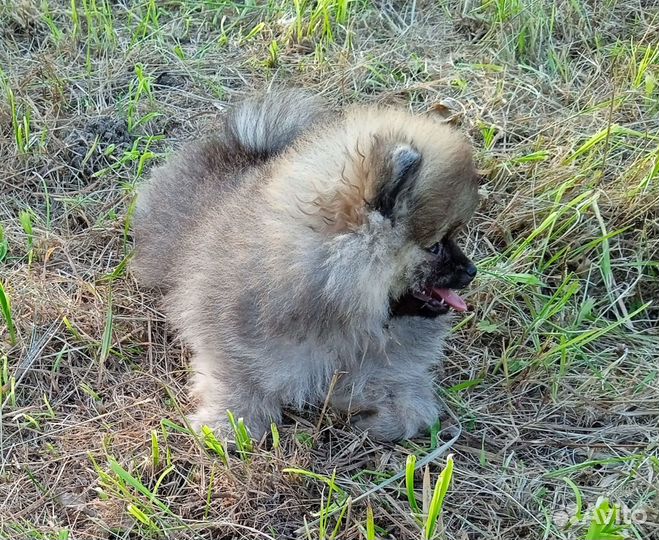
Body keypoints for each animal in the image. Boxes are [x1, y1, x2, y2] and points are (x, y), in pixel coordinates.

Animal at [133, 89, 480, 442]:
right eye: (436, 247)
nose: (471, 271)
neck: (334, 302)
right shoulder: (233, 341)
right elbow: (238, 378)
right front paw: (229, 423)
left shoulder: (381, 360)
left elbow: (405, 401)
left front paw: (383, 419)